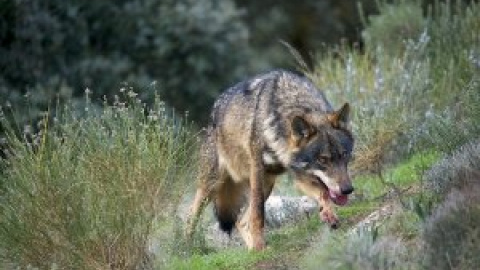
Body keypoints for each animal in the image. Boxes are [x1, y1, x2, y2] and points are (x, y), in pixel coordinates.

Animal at [186, 69, 354, 251]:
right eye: (323, 160)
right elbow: (258, 214)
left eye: (344, 154)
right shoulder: (258, 170)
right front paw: (260, 244)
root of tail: (213, 112)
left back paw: (253, 250)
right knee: (191, 215)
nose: (347, 190)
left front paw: (328, 214)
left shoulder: (300, 174)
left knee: (240, 221)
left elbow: (323, 193)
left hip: (267, 183)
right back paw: (186, 247)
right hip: (212, 184)